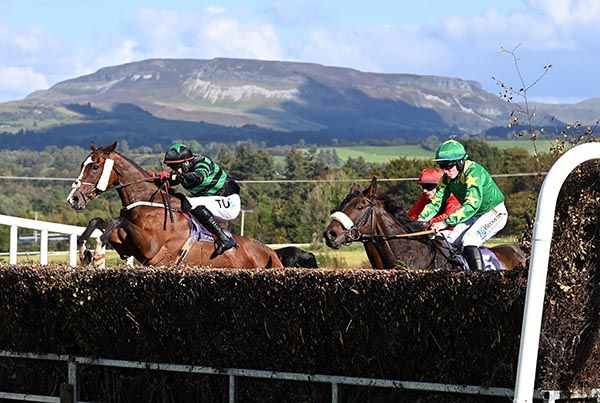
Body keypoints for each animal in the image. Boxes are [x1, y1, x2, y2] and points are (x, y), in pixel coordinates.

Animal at [67, 144, 282, 270]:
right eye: (82, 164)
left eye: (95, 167)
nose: (73, 199)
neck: (148, 202)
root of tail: (270, 252)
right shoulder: (126, 247)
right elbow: (97, 221)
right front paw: (84, 252)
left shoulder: (151, 248)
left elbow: (117, 220)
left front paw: (98, 255)